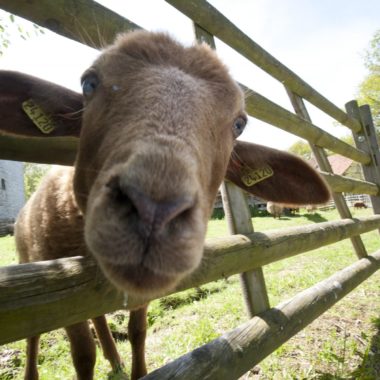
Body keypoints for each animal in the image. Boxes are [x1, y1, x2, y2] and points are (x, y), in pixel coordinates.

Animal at [1, 30, 330, 380]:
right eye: (89, 83)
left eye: (239, 124)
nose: (154, 211)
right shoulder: (60, 287)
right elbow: (83, 355)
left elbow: (137, 333)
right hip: (29, 262)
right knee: (35, 333)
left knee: (99, 319)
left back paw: (114, 359)